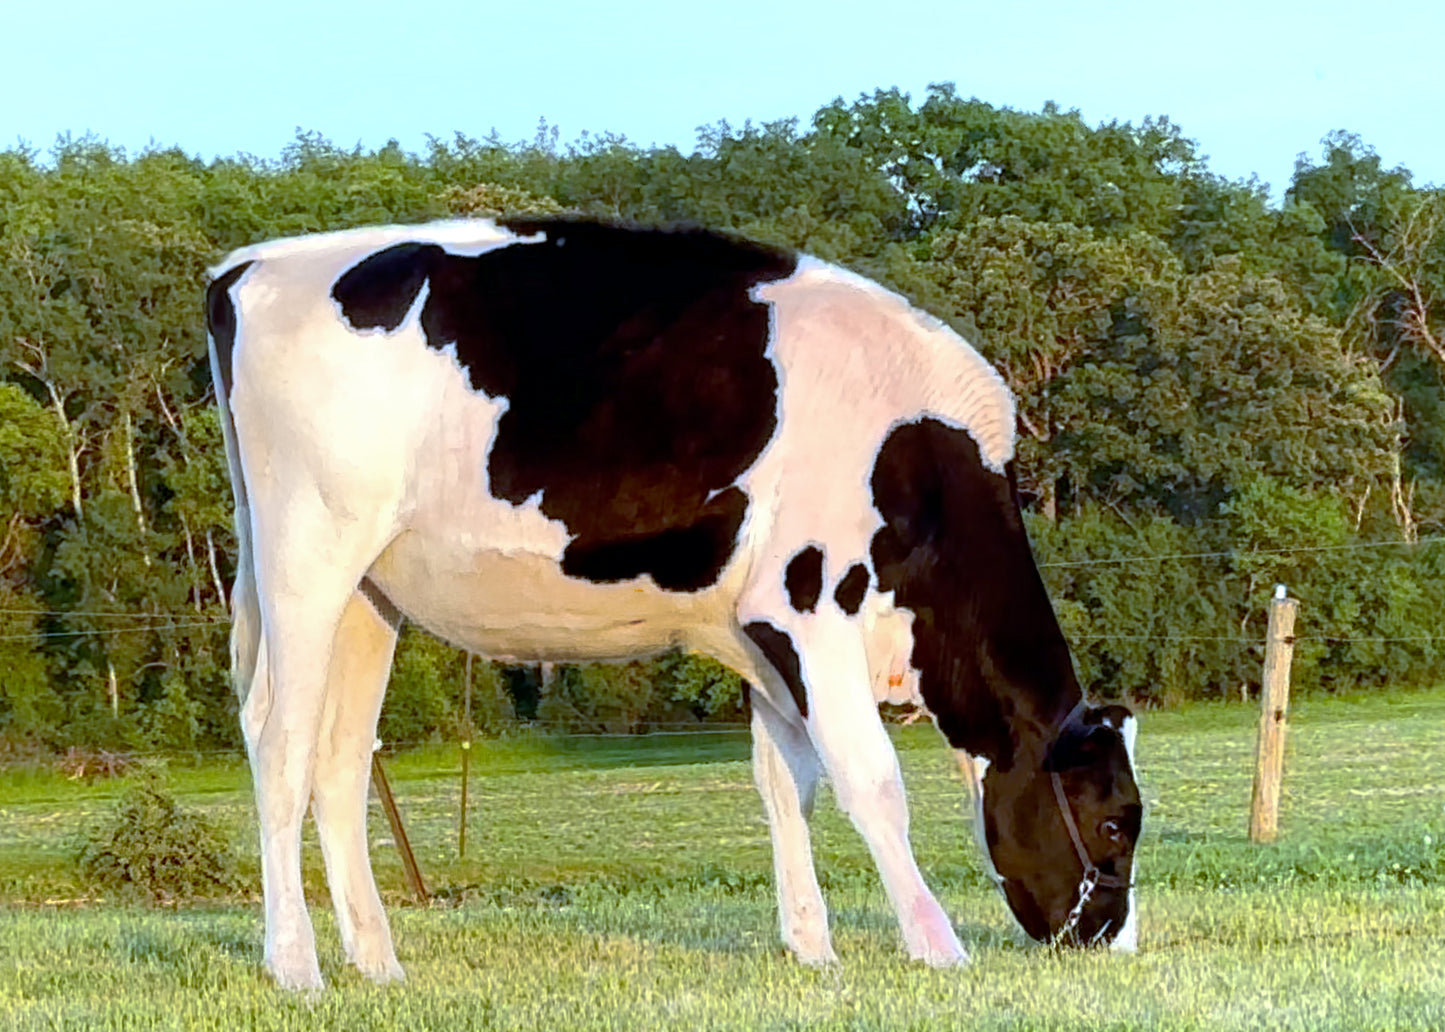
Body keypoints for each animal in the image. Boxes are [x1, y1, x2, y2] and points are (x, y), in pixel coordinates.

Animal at [205, 217, 1142, 991]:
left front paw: (813, 947)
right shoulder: (809, 608)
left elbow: (786, 784)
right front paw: (936, 945)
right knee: (280, 741)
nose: (1111, 942)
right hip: (306, 555)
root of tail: (254, 266)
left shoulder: (761, 636)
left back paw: (377, 962)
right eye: (1113, 827)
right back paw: (295, 967)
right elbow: (870, 781)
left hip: (369, 592)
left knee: (340, 757)